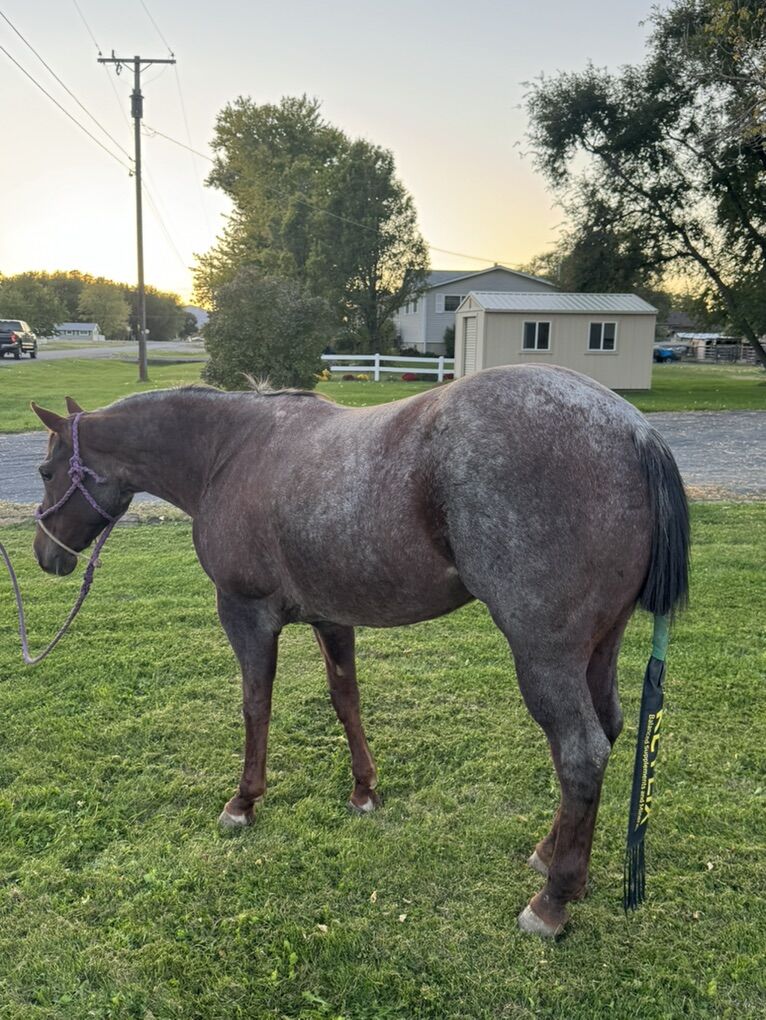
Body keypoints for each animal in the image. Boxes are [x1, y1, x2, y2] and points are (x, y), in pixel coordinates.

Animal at [30, 364, 689, 937]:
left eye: (44, 470)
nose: (45, 554)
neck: (230, 453)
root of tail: (634, 429)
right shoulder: (331, 618)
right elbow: (345, 699)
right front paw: (364, 792)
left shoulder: (245, 613)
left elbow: (255, 705)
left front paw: (243, 802)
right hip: (600, 644)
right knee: (607, 729)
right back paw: (554, 858)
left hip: (545, 653)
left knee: (580, 752)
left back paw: (551, 902)